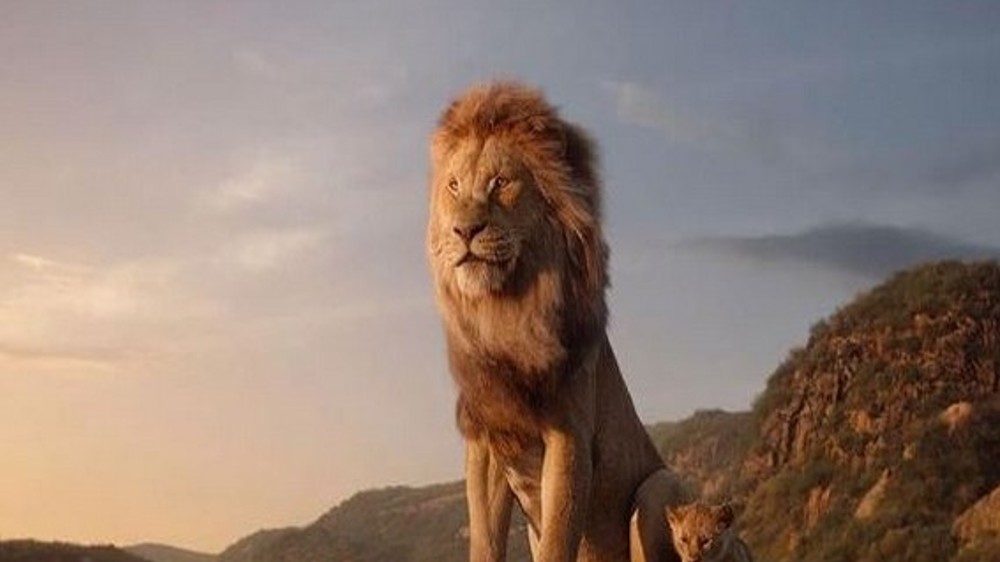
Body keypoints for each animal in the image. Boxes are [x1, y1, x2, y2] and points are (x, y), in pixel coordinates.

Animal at [426, 81, 687, 562]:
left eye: (501, 182)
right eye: (453, 186)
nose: (464, 231)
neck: (505, 312)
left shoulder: (570, 436)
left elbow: (558, 537)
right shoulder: (488, 440)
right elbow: (485, 535)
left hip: (658, 487)